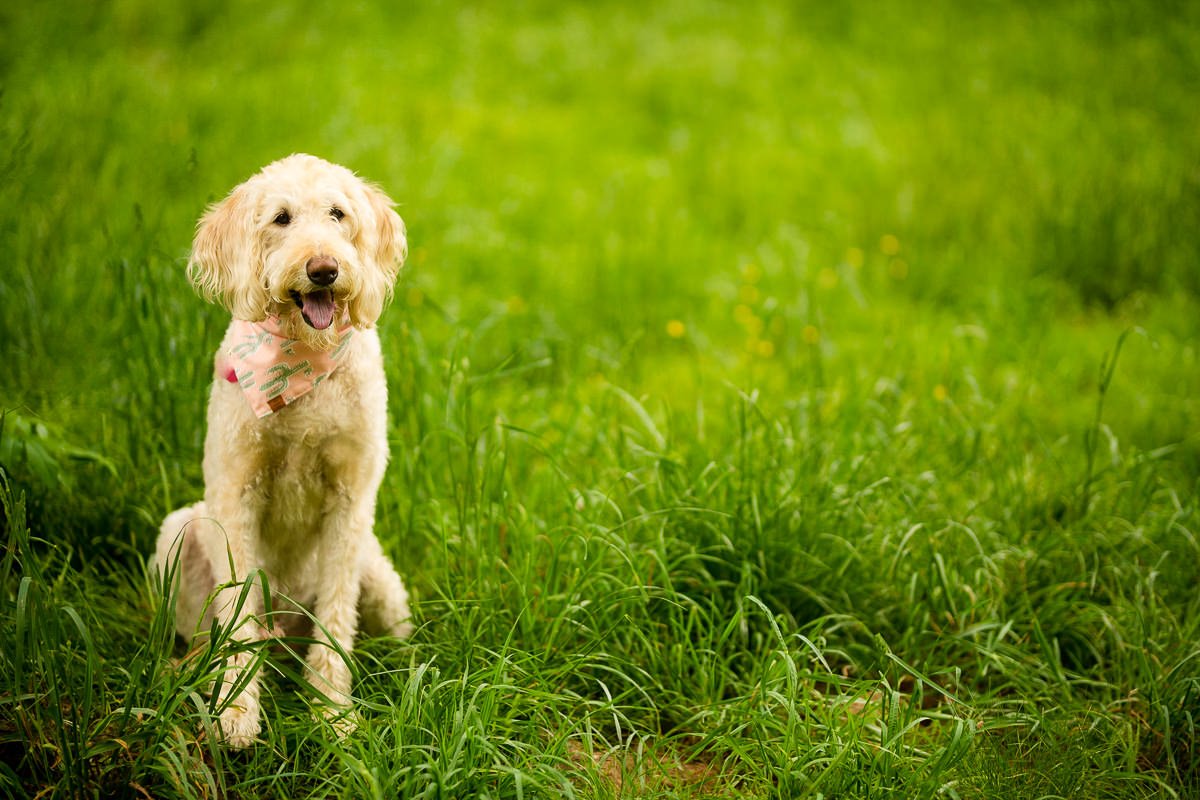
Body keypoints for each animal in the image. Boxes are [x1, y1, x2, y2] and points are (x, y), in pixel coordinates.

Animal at [152, 153, 415, 748]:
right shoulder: (236, 495)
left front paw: (333, 712)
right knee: (208, 635)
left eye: (338, 213)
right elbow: (238, 611)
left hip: (380, 577)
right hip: (179, 535)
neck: (304, 360)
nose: (324, 270)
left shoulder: (351, 501)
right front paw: (236, 711)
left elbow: (337, 616)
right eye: (281, 218)